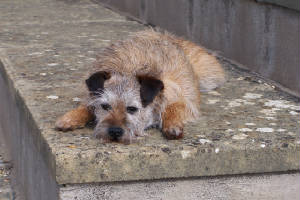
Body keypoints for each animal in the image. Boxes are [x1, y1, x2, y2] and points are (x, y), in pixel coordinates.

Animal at [55, 29, 225, 144]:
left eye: (132, 109)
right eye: (105, 106)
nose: (115, 131)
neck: (129, 69)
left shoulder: (182, 97)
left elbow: (174, 107)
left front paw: (172, 125)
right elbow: (86, 106)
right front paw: (70, 118)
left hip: (209, 75)